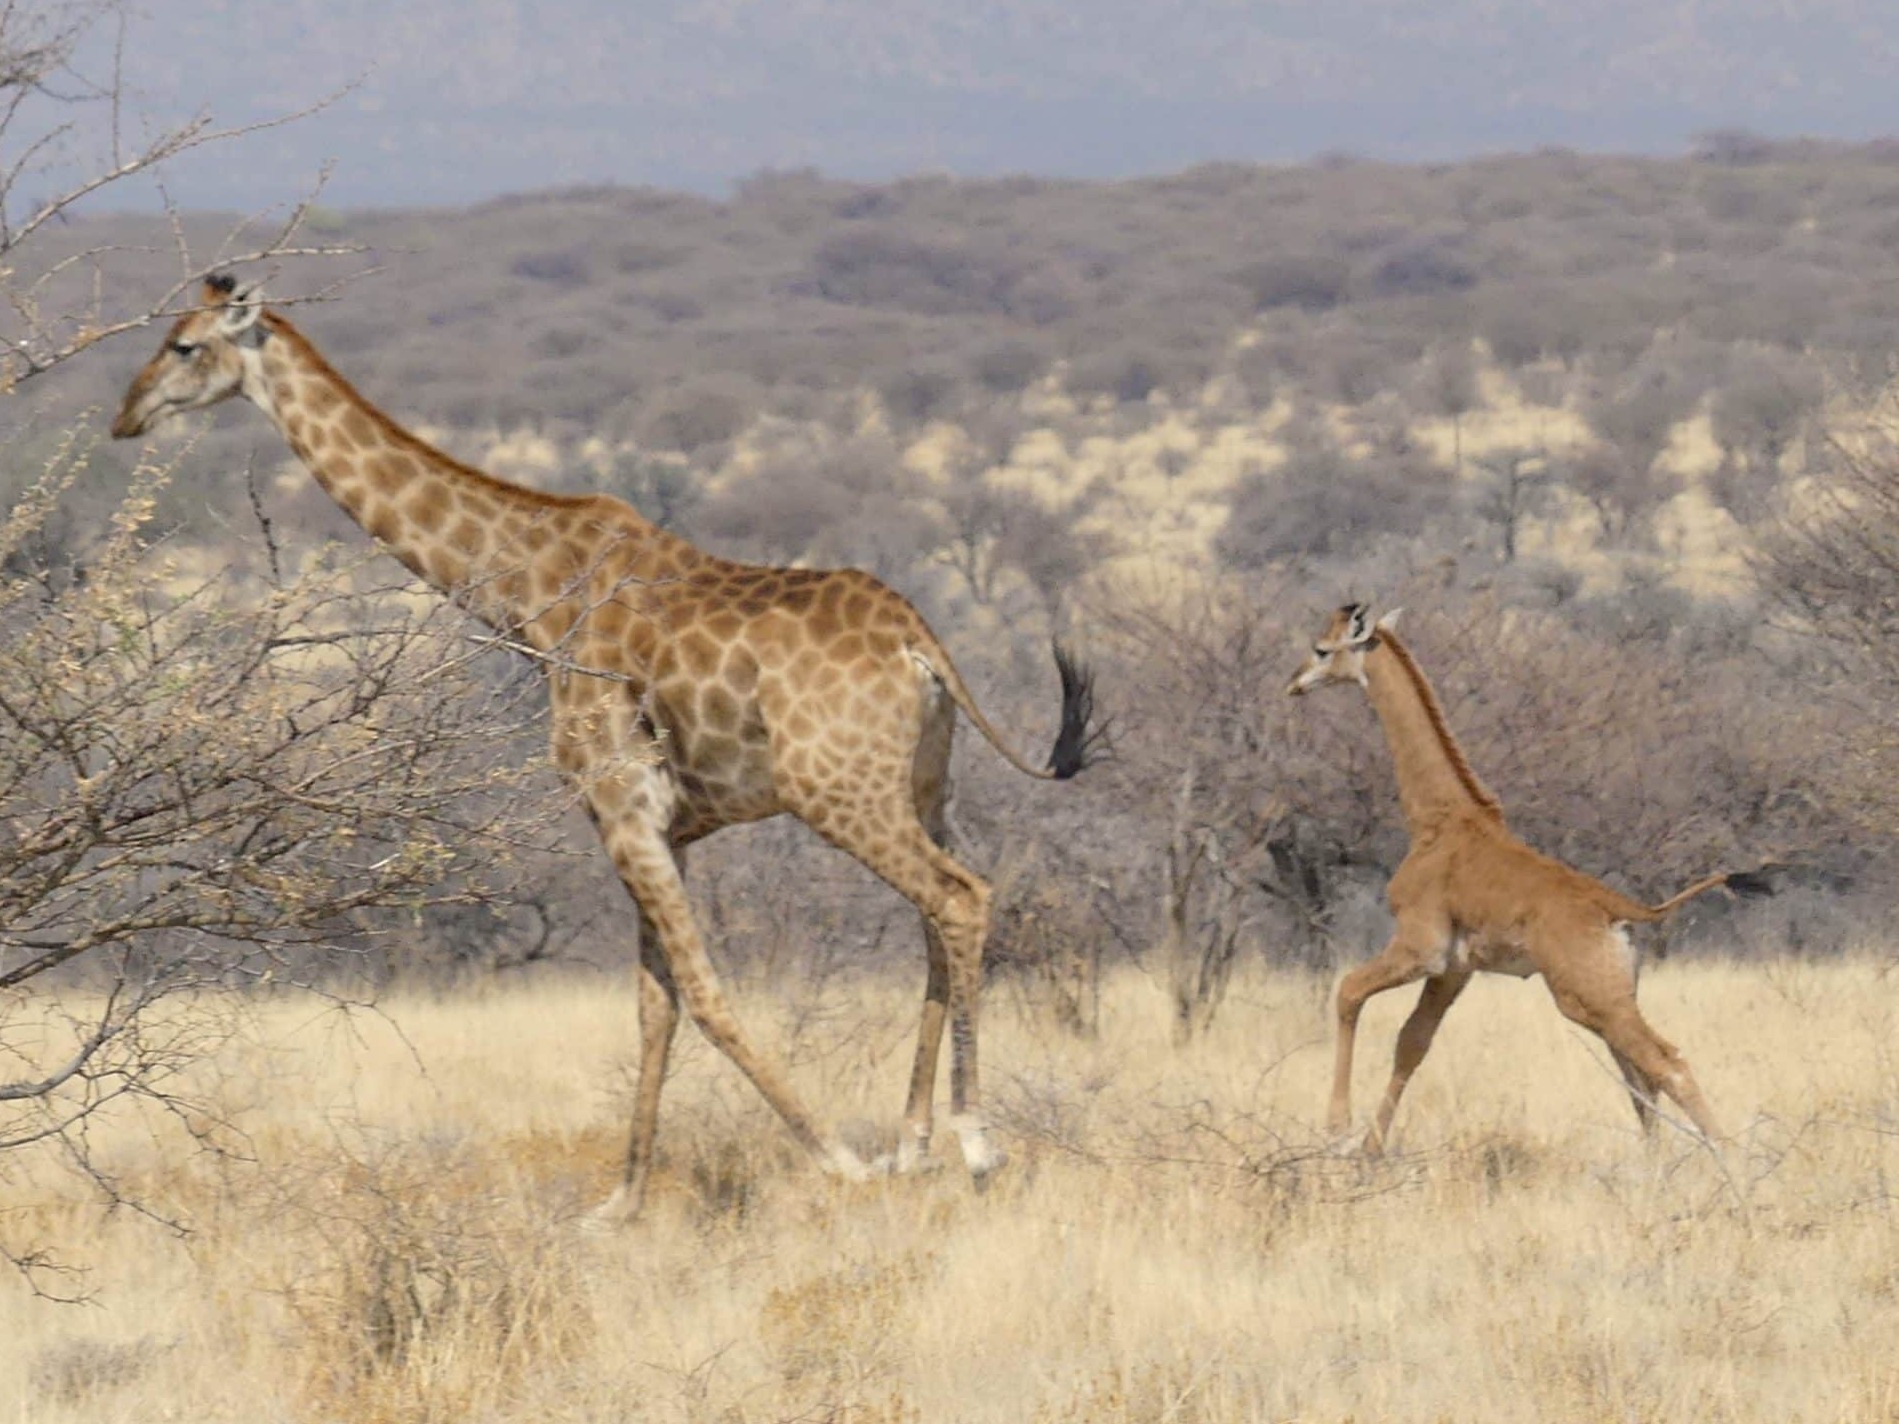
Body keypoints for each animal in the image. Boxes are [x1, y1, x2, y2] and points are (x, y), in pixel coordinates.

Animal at [112, 275, 1103, 1219]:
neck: (527, 594)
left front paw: (836, 1163)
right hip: (921, 786)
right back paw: (913, 1143)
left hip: (839, 791)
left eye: (184, 345)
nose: (126, 416)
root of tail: (918, 642)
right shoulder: (666, 827)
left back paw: (972, 1142)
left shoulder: (620, 808)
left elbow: (700, 993)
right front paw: (622, 1202)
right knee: (936, 915)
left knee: (960, 898)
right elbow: (653, 1006)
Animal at [1286, 603, 1766, 1152]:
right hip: (1608, 997)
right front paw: (1370, 1149)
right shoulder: (1455, 969)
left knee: (1669, 1064)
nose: (1295, 683)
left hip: (1587, 998)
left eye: (1323, 649)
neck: (1438, 820)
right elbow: (1412, 1043)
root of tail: (1623, 911)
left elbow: (1348, 991)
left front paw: (1337, 1127)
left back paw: (1732, 1161)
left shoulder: (1421, 947)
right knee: (1640, 1077)